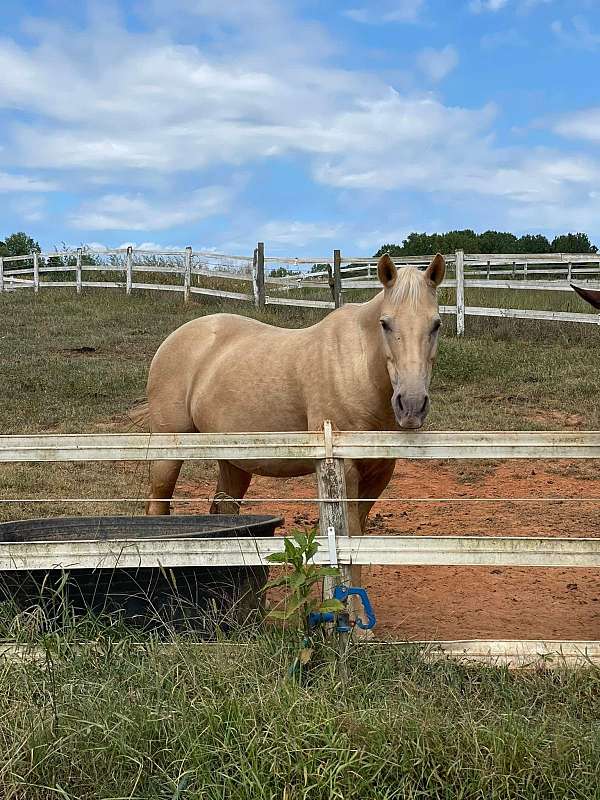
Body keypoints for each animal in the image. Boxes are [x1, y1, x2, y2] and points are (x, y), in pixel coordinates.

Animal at [132, 250, 446, 588]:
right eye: (385, 324)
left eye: (436, 324)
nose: (411, 405)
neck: (357, 367)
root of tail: (175, 338)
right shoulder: (344, 471)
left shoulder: (379, 473)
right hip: (168, 451)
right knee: (158, 507)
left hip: (233, 462)